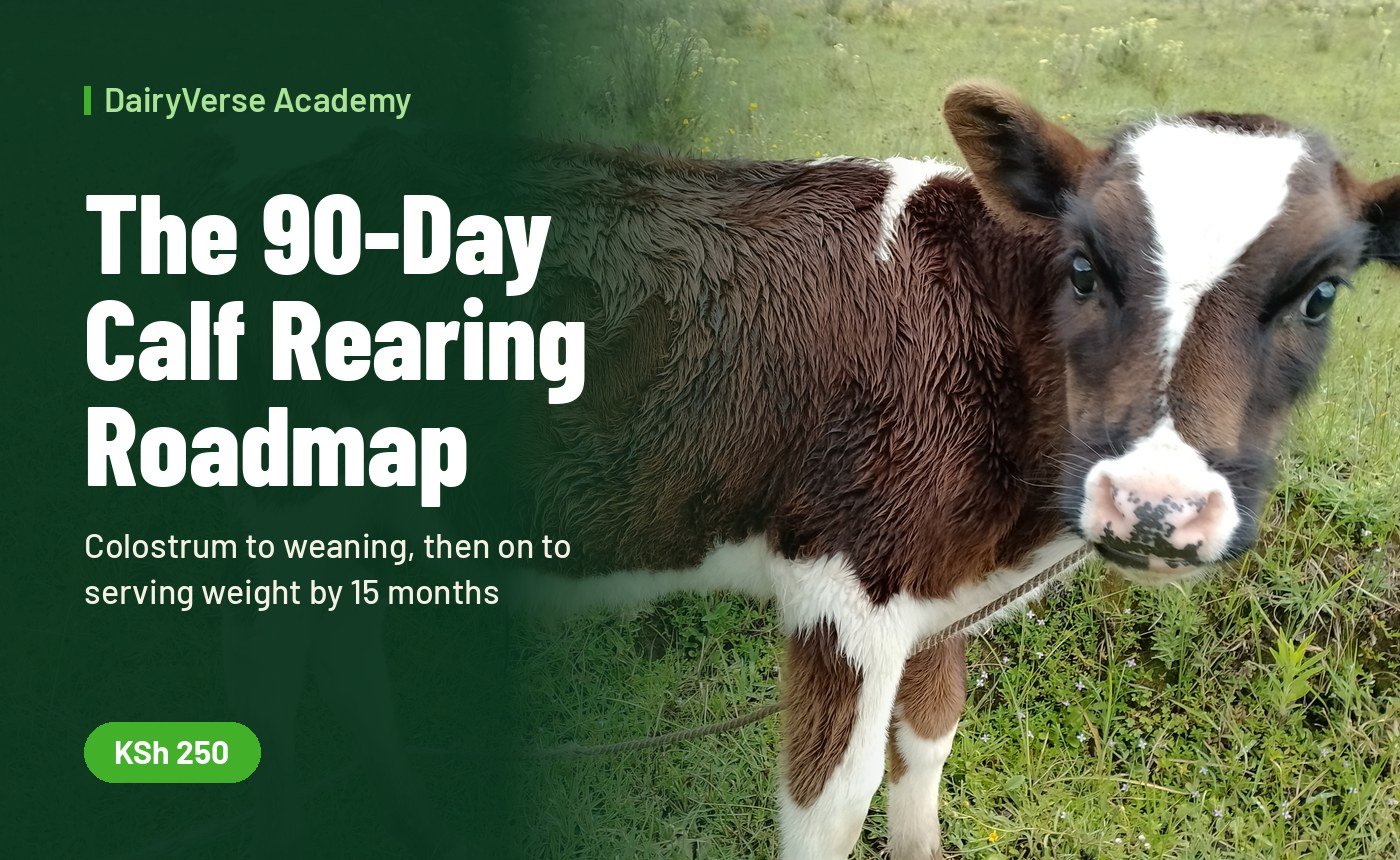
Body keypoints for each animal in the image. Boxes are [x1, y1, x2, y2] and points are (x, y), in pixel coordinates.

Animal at [523, 82, 1400, 859]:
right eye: (1083, 270)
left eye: (1321, 296)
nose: (1154, 507)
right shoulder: (846, 580)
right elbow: (832, 808)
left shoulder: (936, 587)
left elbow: (929, 741)